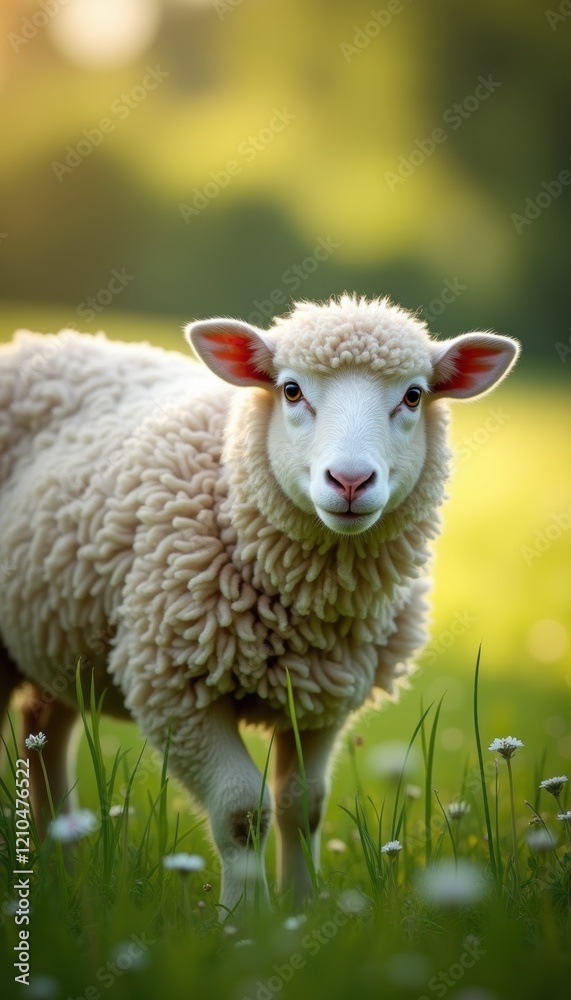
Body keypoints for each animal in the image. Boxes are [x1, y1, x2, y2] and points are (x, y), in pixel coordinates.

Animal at [0, 295, 519, 910]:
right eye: (291, 390)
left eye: (413, 396)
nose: (349, 481)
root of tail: (32, 340)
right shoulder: (173, 689)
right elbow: (242, 811)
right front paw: (242, 920)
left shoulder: (324, 699)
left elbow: (304, 806)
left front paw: (298, 910)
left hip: (57, 640)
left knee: (42, 734)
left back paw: (63, 873)